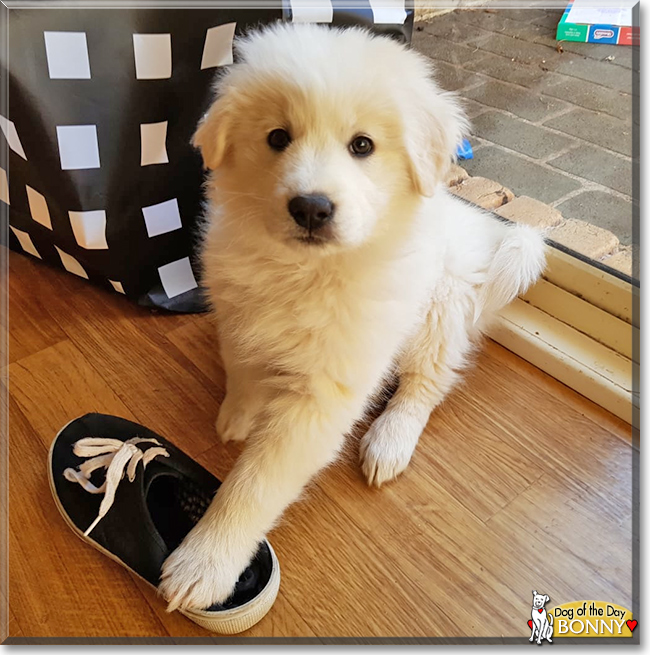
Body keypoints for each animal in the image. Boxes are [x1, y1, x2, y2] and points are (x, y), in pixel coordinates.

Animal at [159, 23, 544, 612]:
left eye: (362, 145)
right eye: (277, 137)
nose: (311, 208)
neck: (305, 272)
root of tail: (485, 232)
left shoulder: (324, 396)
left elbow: (254, 485)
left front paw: (204, 563)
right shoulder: (238, 310)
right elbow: (243, 362)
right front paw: (240, 412)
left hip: (440, 309)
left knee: (426, 384)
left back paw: (389, 441)